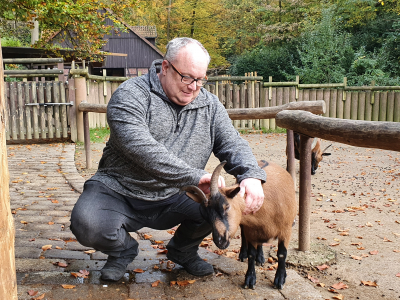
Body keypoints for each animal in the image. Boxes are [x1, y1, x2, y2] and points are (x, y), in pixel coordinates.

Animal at [181, 161, 296, 290]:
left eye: (226, 206)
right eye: (205, 216)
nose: (220, 240)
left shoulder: (286, 230)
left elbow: (282, 254)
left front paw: (280, 279)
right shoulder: (251, 231)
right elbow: (251, 254)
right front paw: (250, 279)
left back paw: (260, 258)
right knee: (244, 235)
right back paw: (245, 255)